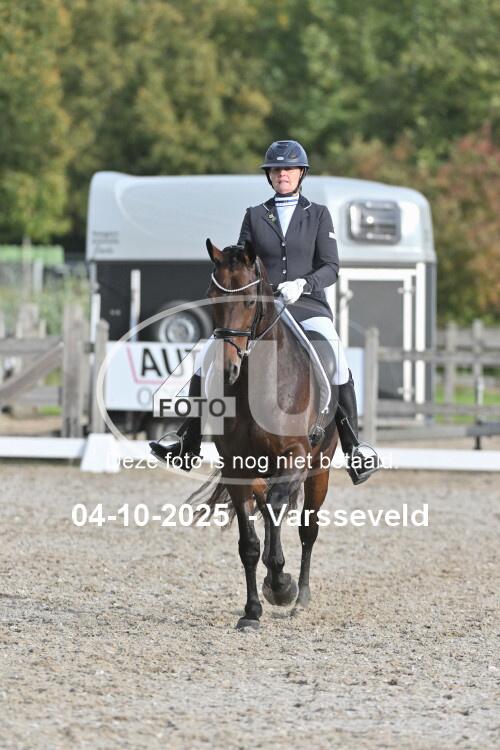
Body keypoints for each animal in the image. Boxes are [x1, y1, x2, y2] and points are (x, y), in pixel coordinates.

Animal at [187, 239, 339, 629]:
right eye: (211, 296)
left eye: (250, 301)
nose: (229, 369)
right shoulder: (236, 468)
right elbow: (249, 544)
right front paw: (252, 610)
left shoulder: (295, 457)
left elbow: (277, 511)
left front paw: (282, 585)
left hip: (320, 468)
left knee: (306, 528)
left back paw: (299, 597)